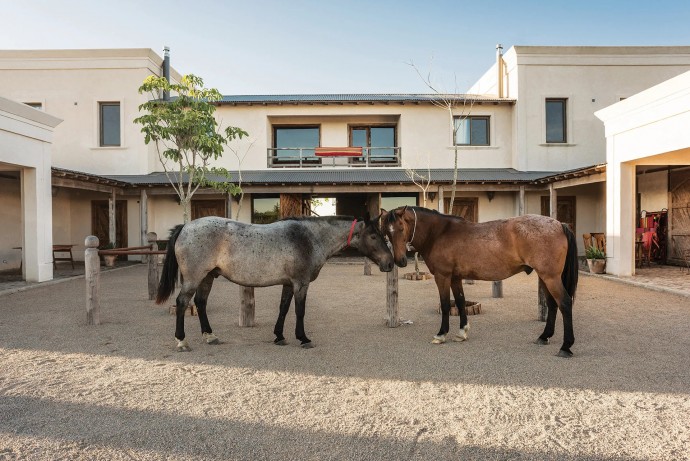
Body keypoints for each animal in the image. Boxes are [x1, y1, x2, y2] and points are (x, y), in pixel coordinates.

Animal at [157, 214, 392, 350]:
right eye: (373, 236)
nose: (390, 262)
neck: (309, 238)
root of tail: (186, 226)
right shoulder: (300, 283)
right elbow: (299, 311)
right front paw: (303, 338)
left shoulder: (288, 284)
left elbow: (283, 308)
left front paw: (279, 336)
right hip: (194, 278)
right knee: (182, 303)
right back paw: (181, 340)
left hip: (207, 277)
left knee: (201, 303)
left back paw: (210, 336)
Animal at [378, 207, 576, 358]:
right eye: (387, 232)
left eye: (401, 228)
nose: (400, 261)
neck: (439, 233)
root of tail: (559, 224)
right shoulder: (455, 278)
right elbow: (459, 302)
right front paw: (462, 332)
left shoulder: (443, 276)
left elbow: (445, 304)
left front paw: (441, 334)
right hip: (544, 277)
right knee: (552, 304)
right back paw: (544, 337)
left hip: (550, 277)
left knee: (564, 303)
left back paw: (566, 346)